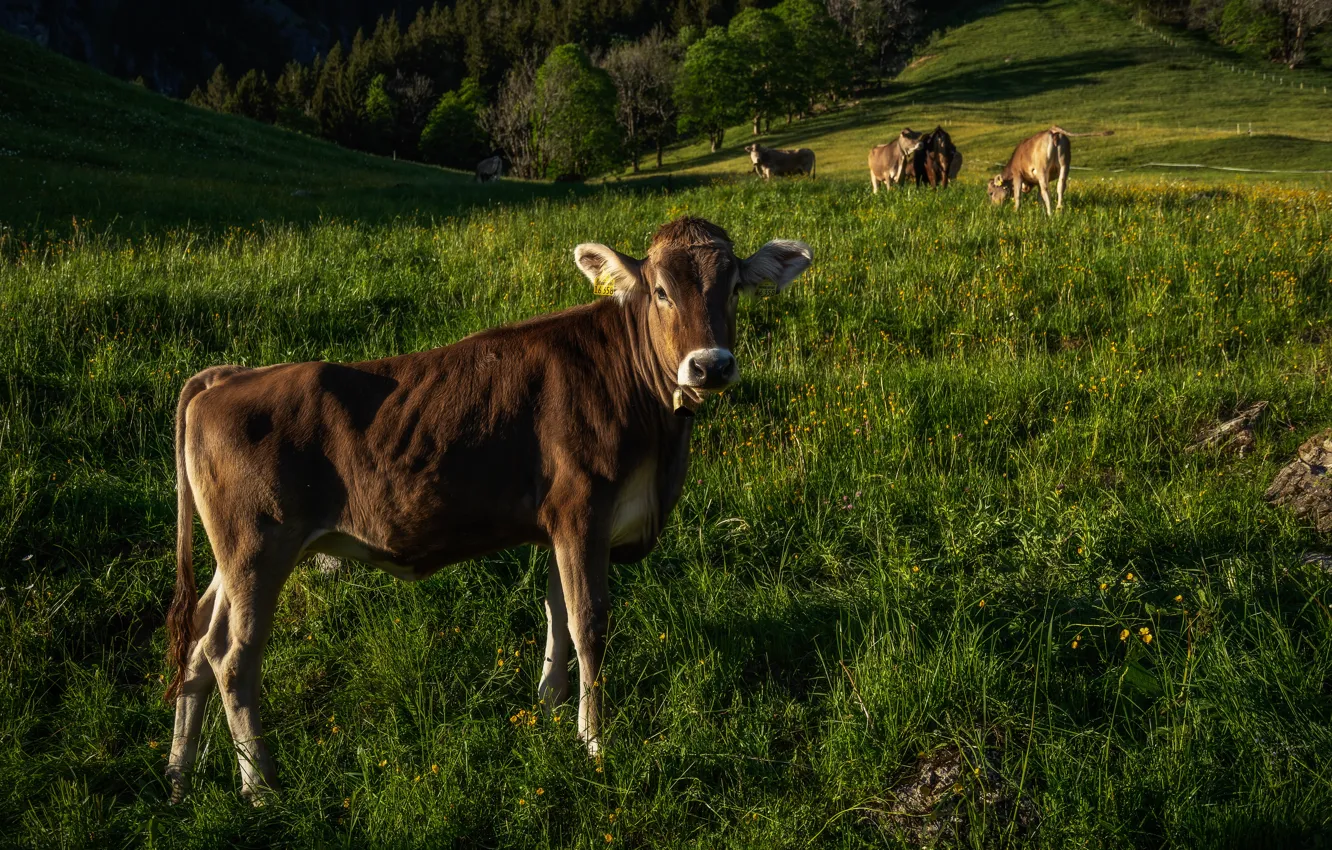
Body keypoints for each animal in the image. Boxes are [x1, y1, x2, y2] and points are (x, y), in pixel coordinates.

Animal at [163, 215, 809, 804]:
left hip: (234, 557)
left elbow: (556, 611)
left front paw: (550, 706)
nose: (711, 364)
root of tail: (228, 376)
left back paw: (179, 774)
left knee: (197, 641)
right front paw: (594, 741)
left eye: (734, 287)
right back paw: (259, 785)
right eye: (660, 291)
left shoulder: (561, 522)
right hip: (258, 547)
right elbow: (589, 622)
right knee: (233, 656)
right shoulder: (583, 509)